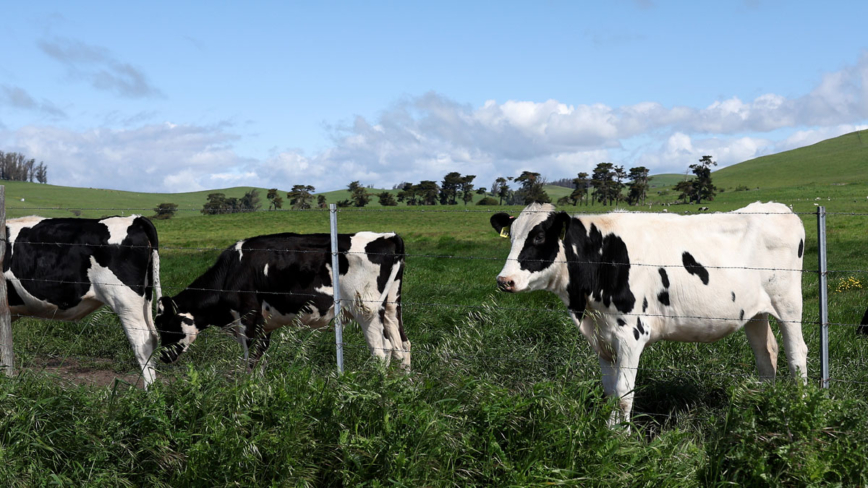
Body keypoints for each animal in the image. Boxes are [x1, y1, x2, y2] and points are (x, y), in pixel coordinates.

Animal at [6, 215, 161, 386]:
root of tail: (135, 219)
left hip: (126, 300)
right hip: (145, 299)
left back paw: (147, 390)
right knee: (152, 339)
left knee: (142, 342)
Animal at [156, 233, 410, 370]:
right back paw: (402, 391)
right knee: (402, 346)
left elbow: (250, 360)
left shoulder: (248, 320)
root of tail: (389, 237)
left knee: (382, 352)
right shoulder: (264, 325)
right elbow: (260, 359)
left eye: (165, 327)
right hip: (391, 307)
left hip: (366, 310)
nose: (162, 358)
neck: (231, 272)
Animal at [492, 202, 812, 424]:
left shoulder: (631, 334)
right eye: (512, 237)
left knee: (797, 353)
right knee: (766, 354)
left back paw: (801, 404)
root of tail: (777, 207)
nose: (504, 280)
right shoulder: (603, 338)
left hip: (789, 303)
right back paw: (763, 405)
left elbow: (624, 394)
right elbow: (610, 393)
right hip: (755, 312)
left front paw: (620, 442)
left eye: (539, 237)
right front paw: (609, 433)